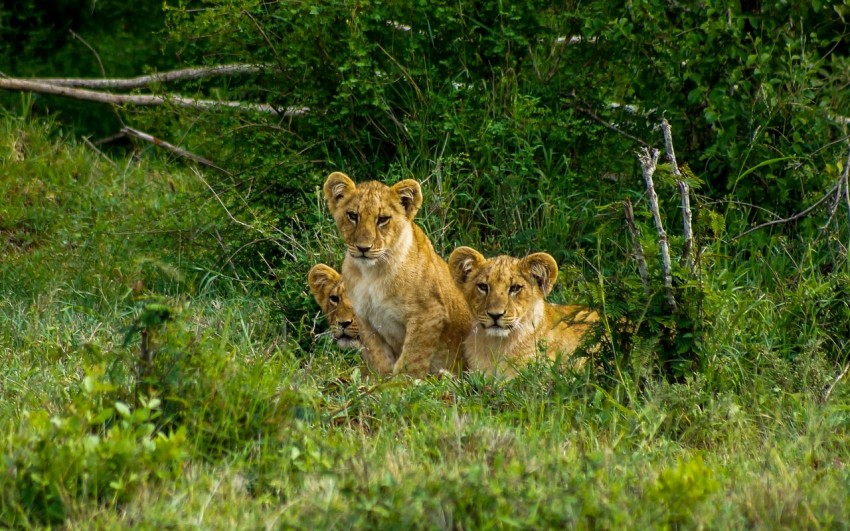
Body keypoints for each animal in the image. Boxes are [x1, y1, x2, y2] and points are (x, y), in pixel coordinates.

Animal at [323, 171, 472, 377]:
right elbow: (379, 357)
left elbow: (412, 357)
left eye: (382, 219)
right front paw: (381, 380)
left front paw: (401, 382)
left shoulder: (429, 313)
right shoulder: (365, 320)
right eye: (353, 216)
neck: (372, 274)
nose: (363, 248)